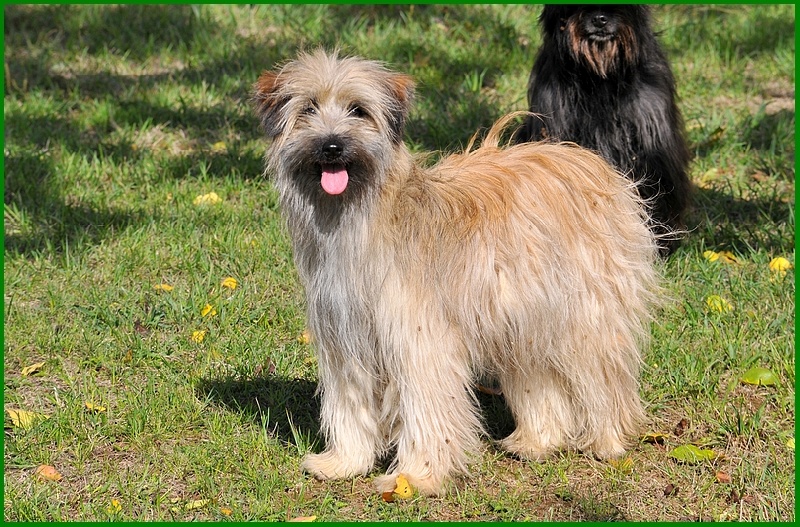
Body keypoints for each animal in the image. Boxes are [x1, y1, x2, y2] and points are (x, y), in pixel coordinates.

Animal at [253, 50, 660, 500]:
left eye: (358, 110)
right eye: (308, 109)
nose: (331, 145)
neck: (358, 220)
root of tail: (585, 159)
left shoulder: (419, 340)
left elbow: (427, 408)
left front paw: (415, 478)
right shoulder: (344, 340)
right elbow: (349, 402)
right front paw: (344, 463)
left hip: (583, 312)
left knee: (603, 373)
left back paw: (608, 440)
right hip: (522, 314)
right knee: (537, 372)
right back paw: (537, 441)